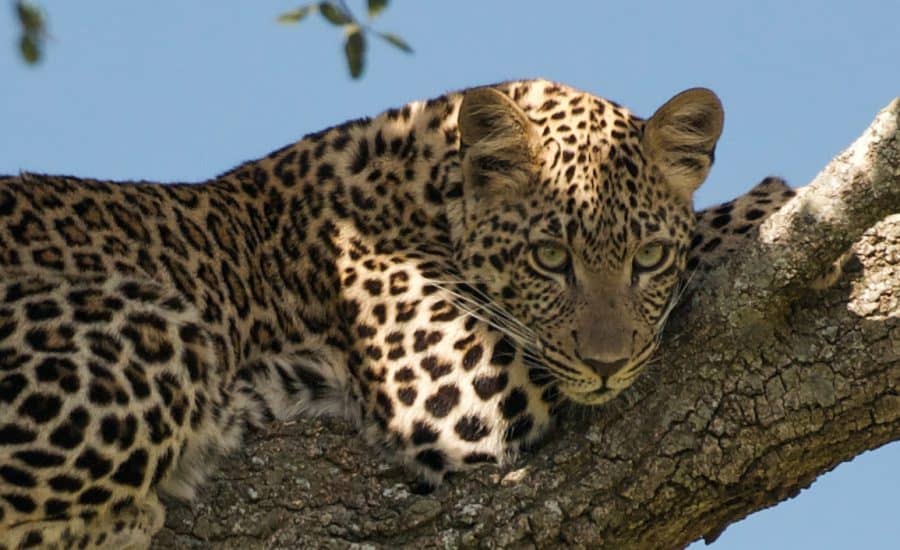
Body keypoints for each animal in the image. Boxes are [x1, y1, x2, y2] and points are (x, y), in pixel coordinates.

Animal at [0, 78, 798, 548]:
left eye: (647, 258)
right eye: (549, 258)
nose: (606, 367)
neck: (430, 179)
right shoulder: (457, 384)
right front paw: (764, 207)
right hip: (159, 330)